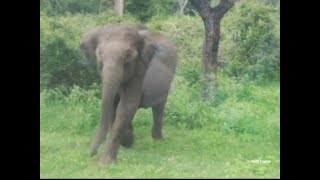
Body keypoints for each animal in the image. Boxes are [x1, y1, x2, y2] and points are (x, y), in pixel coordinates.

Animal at [78, 23, 176, 165]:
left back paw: (157, 140)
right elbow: (113, 105)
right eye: (99, 54)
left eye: (129, 56)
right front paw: (129, 139)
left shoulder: (139, 71)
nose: (92, 154)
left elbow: (127, 106)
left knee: (159, 107)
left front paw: (105, 163)